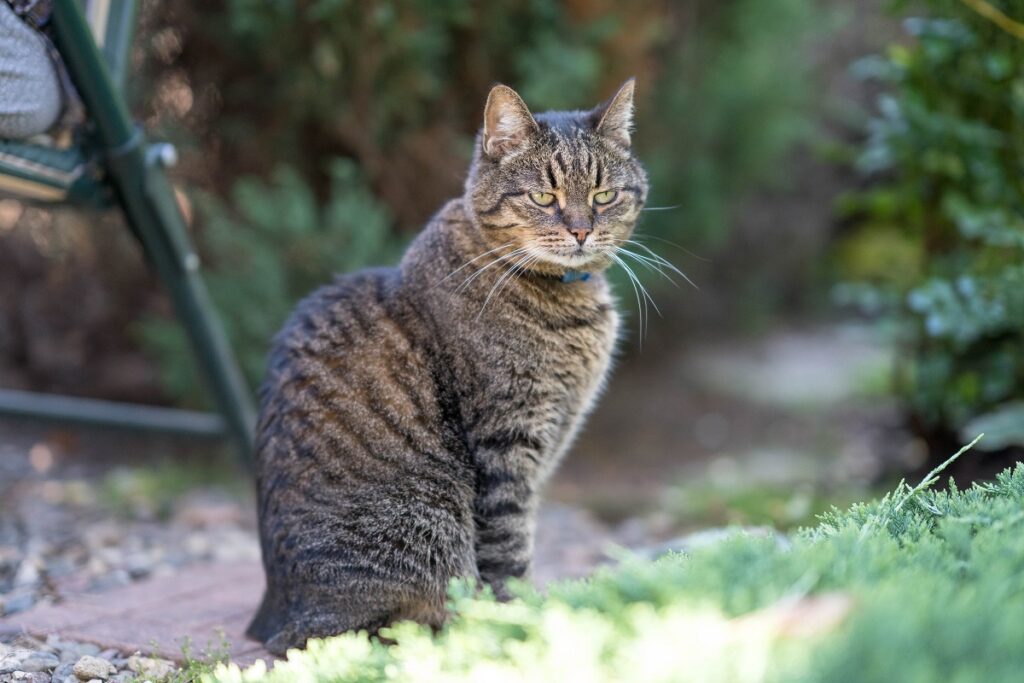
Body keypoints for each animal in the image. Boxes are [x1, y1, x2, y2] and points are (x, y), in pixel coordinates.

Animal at [245, 77, 647, 655]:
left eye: (603, 196)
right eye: (543, 197)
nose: (580, 231)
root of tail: (280, 619)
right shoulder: (506, 444)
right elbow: (509, 550)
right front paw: (523, 621)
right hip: (428, 520)